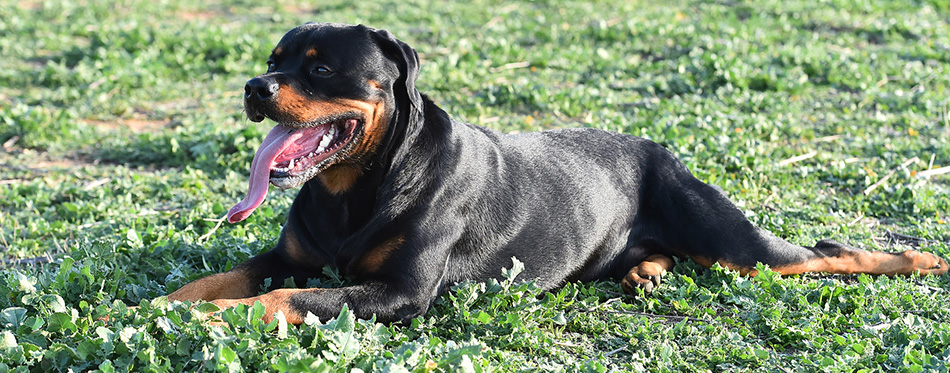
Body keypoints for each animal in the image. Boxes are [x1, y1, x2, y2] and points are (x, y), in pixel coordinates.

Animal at [167, 22, 948, 322]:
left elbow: (290, 296)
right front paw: (166, 303)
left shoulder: (399, 291)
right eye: (273, 58)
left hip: (739, 245)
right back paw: (645, 271)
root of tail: (657, 147)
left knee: (824, 254)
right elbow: (227, 276)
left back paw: (918, 258)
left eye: (321, 68)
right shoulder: (286, 253)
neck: (352, 190)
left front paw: (225, 318)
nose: (254, 87)